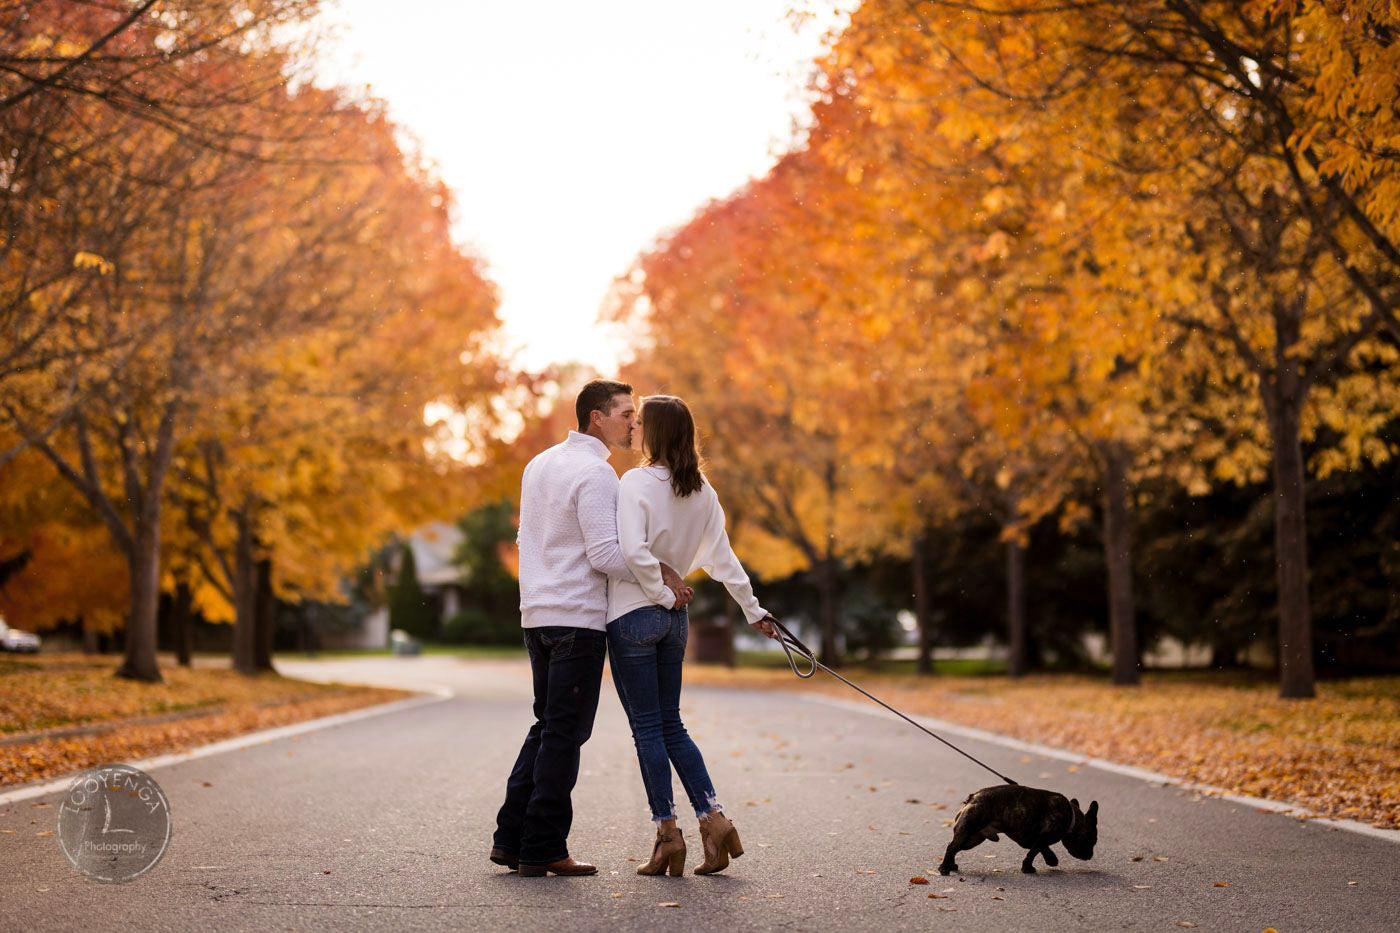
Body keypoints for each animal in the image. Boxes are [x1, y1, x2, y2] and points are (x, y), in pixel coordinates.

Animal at [935, 784, 1097, 874]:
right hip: (969, 830)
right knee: (951, 847)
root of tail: (973, 797)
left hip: (973, 839)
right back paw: (944, 868)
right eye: (1091, 841)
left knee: (955, 848)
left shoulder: (1034, 837)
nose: (1090, 856)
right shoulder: (1043, 836)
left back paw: (951, 865)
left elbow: (1041, 848)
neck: (1072, 818)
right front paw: (1028, 868)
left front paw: (1051, 859)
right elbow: (1034, 851)